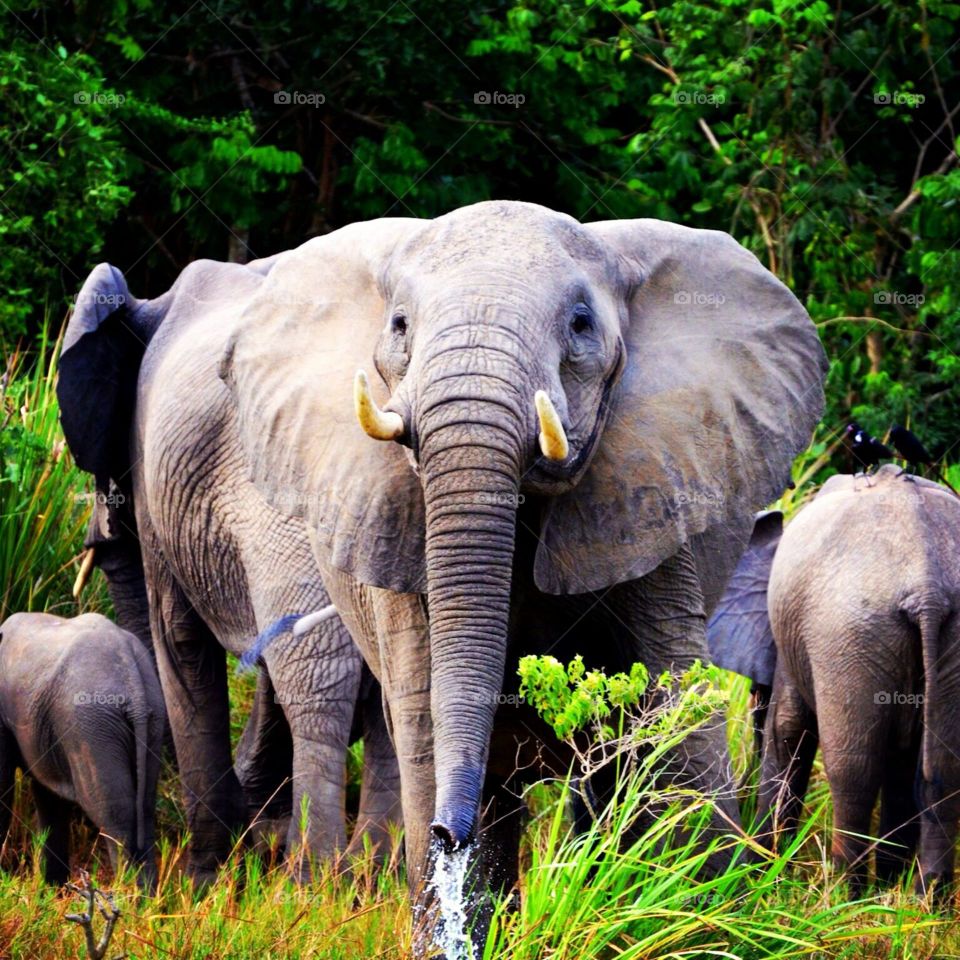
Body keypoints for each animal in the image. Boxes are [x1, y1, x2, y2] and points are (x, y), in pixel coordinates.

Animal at [0, 612, 165, 887]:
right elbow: (50, 798)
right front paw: (52, 888)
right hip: (151, 718)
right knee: (145, 808)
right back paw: (145, 897)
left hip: (91, 725)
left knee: (113, 813)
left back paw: (125, 894)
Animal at [708, 465, 960, 894]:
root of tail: (928, 588)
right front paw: (889, 885)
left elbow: (788, 730)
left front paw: (762, 874)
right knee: (943, 773)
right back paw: (924, 900)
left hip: (845, 632)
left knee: (852, 769)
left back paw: (846, 893)